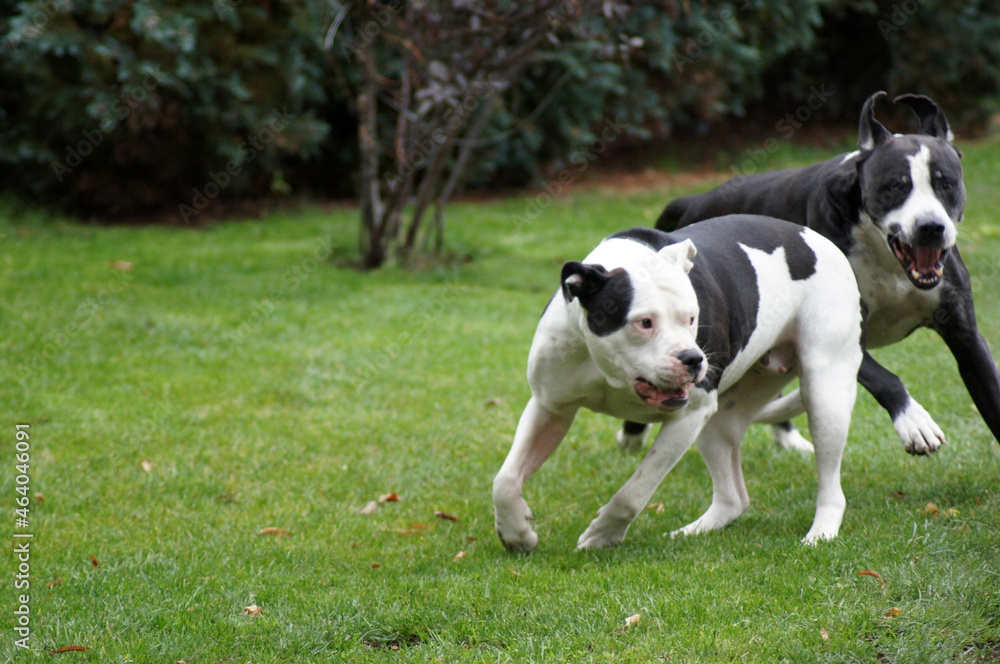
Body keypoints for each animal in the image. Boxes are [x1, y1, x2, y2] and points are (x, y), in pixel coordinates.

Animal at [496, 217, 864, 548]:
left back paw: (820, 532)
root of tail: (813, 236)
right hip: (720, 421)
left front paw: (603, 534)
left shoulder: (688, 416)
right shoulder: (550, 407)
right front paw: (516, 533)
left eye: (691, 317)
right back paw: (695, 531)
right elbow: (505, 480)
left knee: (831, 483)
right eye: (644, 322)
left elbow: (635, 490)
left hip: (824, 396)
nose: (693, 359)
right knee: (732, 498)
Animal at [644, 91, 996, 456]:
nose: (931, 227)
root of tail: (696, 201)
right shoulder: (840, 337)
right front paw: (913, 420)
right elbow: (885, 377)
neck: (885, 257)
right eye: (895, 187)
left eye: (946, 184)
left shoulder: (967, 338)